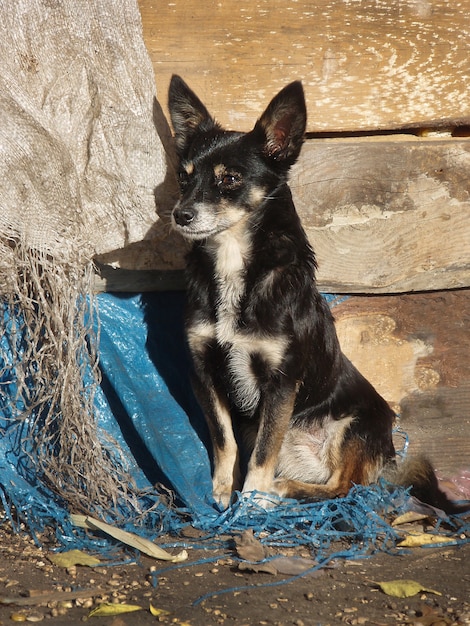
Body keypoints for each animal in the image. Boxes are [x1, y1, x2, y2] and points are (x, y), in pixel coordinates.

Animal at [168, 74, 466, 512]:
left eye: (230, 178)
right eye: (184, 178)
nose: (180, 215)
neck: (233, 260)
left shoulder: (281, 382)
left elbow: (263, 450)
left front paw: (252, 498)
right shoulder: (204, 371)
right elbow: (225, 440)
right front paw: (223, 490)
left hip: (356, 425)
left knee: (346, 489)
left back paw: (281, 490)